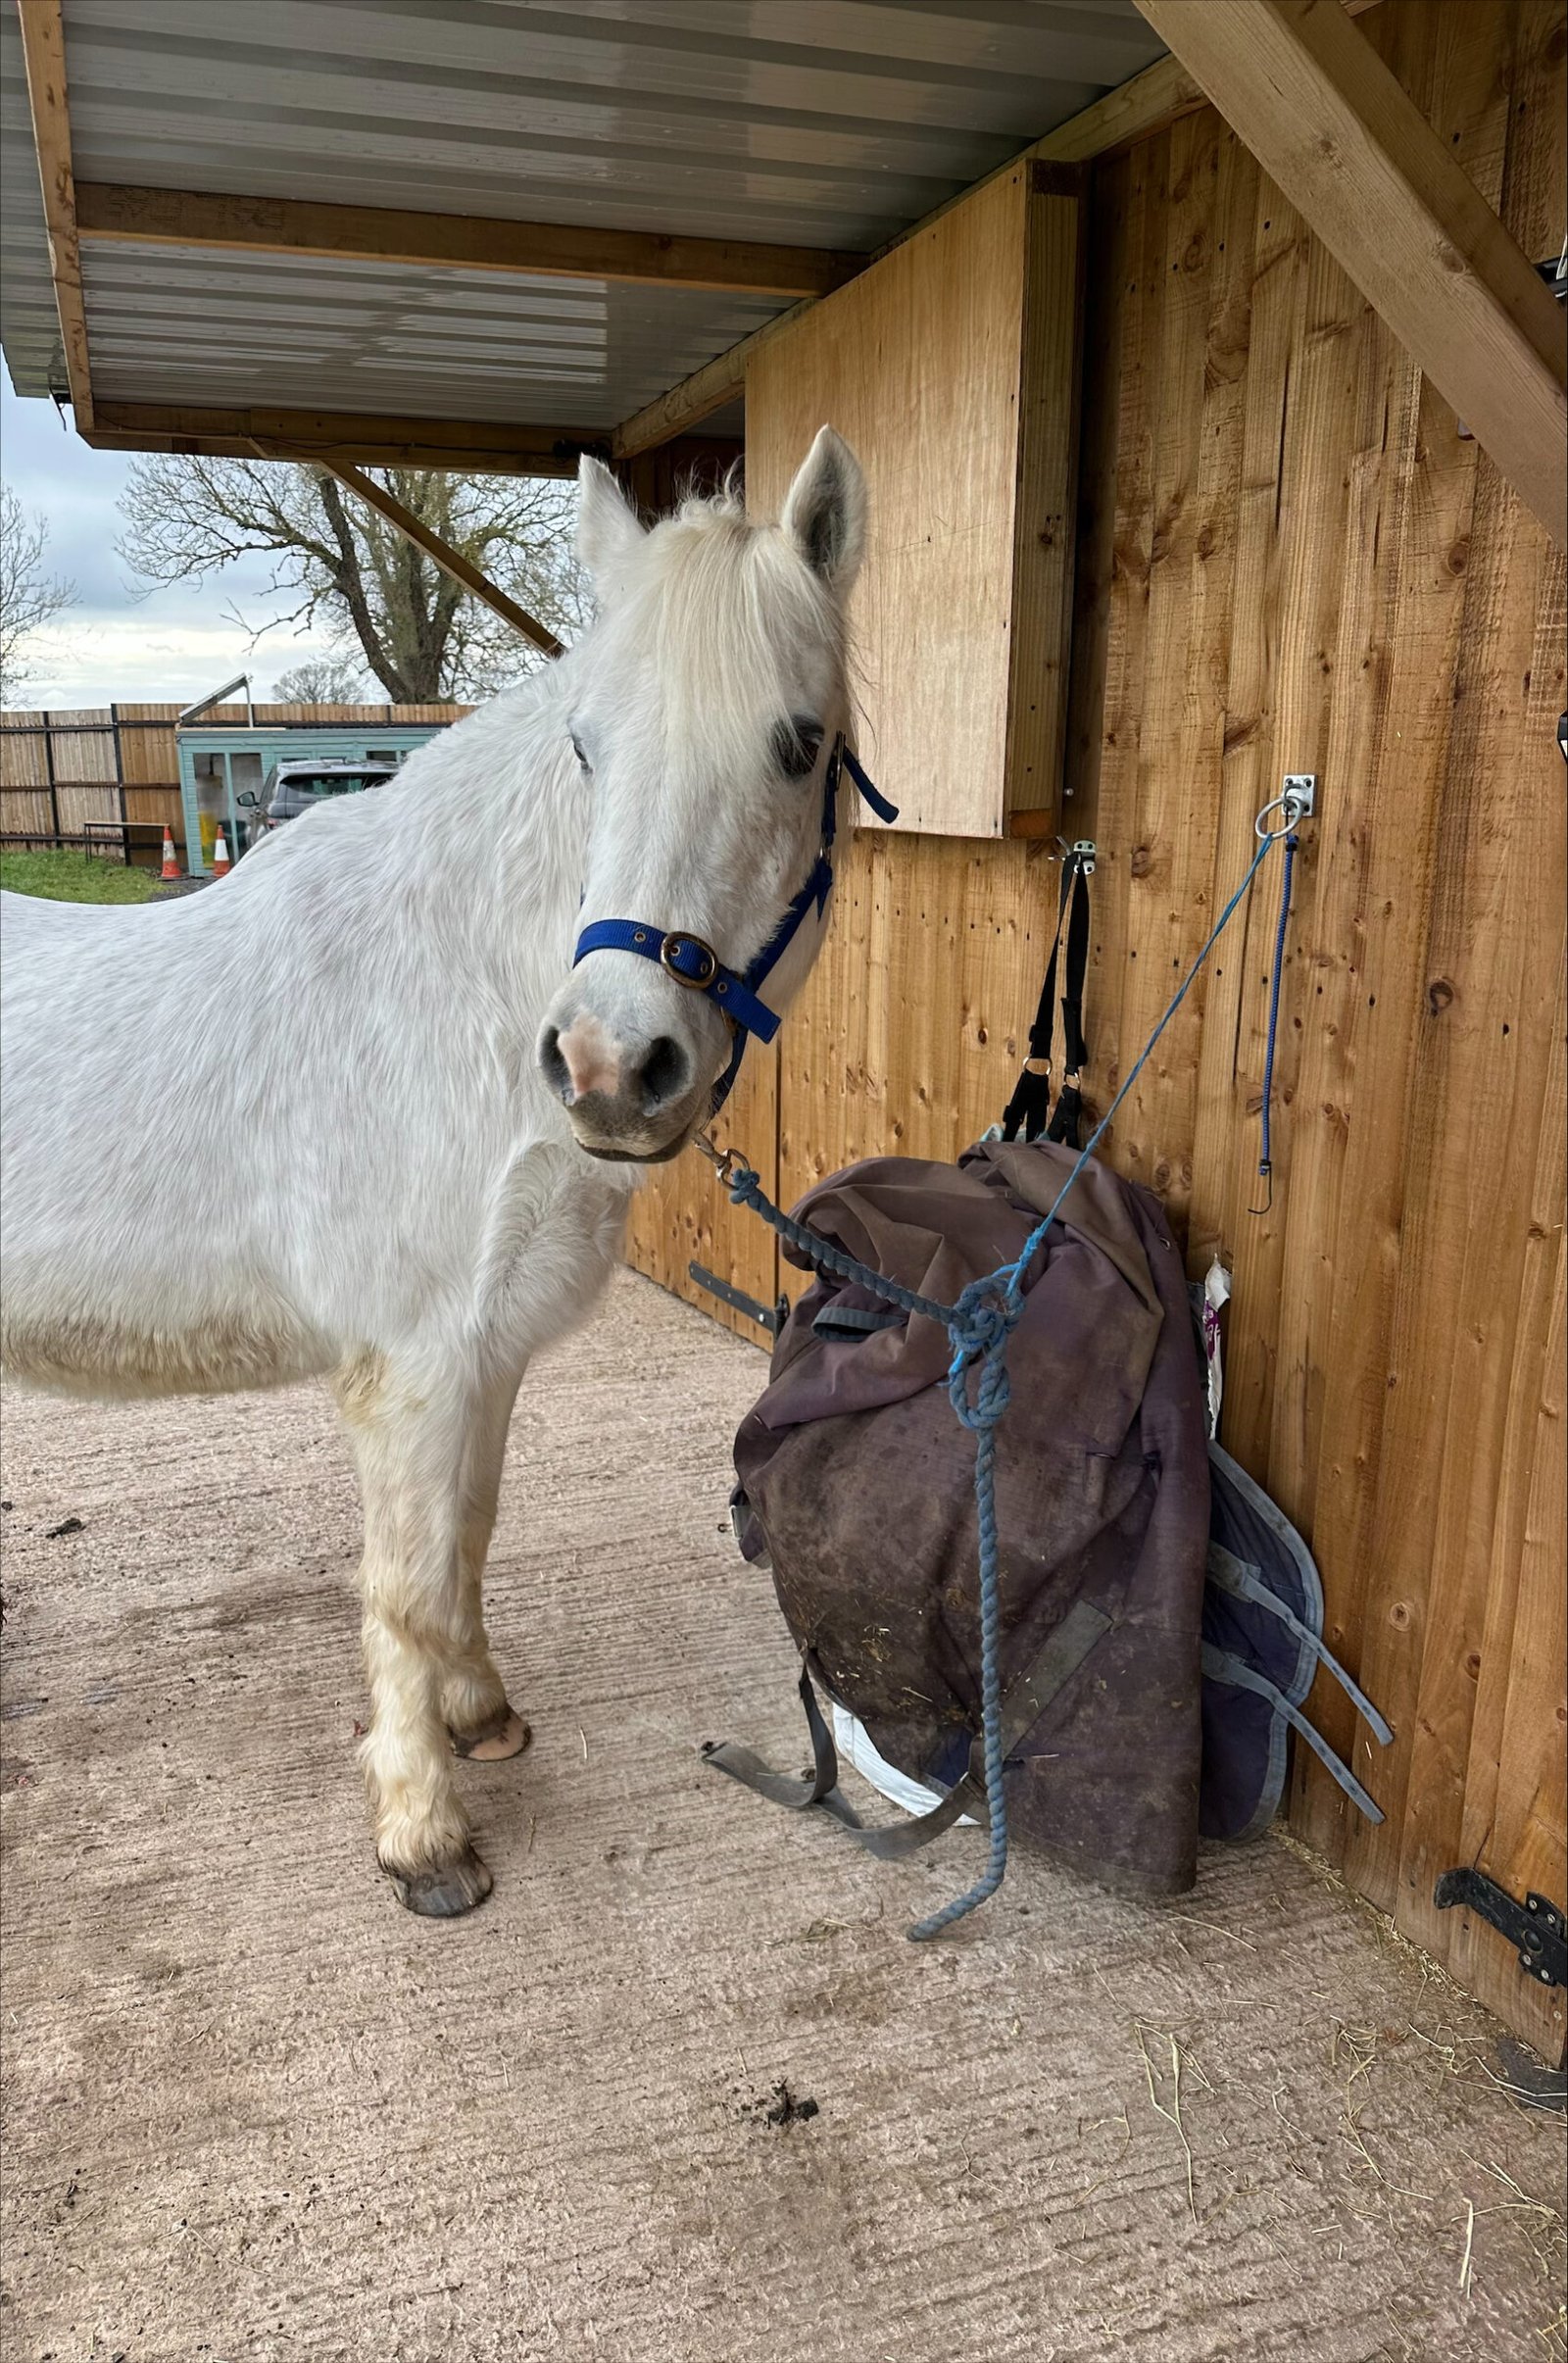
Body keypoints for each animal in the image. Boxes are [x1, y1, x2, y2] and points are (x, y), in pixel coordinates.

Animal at [0, 430, 867, 1917]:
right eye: (586, 748)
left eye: (798, 743)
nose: (609, 1061)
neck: (449, 999)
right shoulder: (408, 1365)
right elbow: (404, 1578)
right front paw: (425, 1833)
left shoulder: (486, 1352)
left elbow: (468, 1532)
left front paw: (481, 1714)